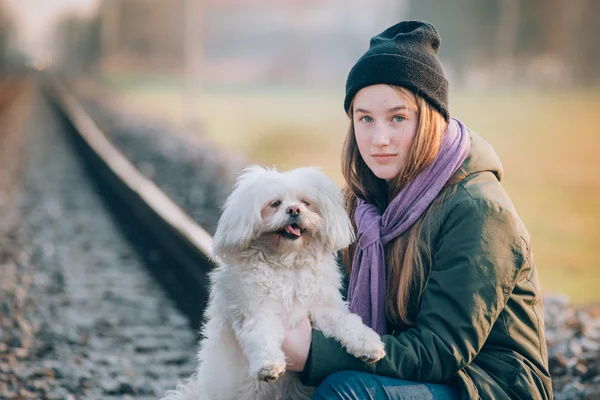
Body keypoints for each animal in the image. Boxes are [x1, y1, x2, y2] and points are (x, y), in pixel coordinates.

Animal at [162, 166, 384, 400]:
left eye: (306, 202)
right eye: (275, 203)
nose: (294, 209)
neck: (287, 262)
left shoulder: (325, 307)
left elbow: (347, 322)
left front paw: (369, 344)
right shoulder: (254, 311)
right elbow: (262, 335)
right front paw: (268, 365)